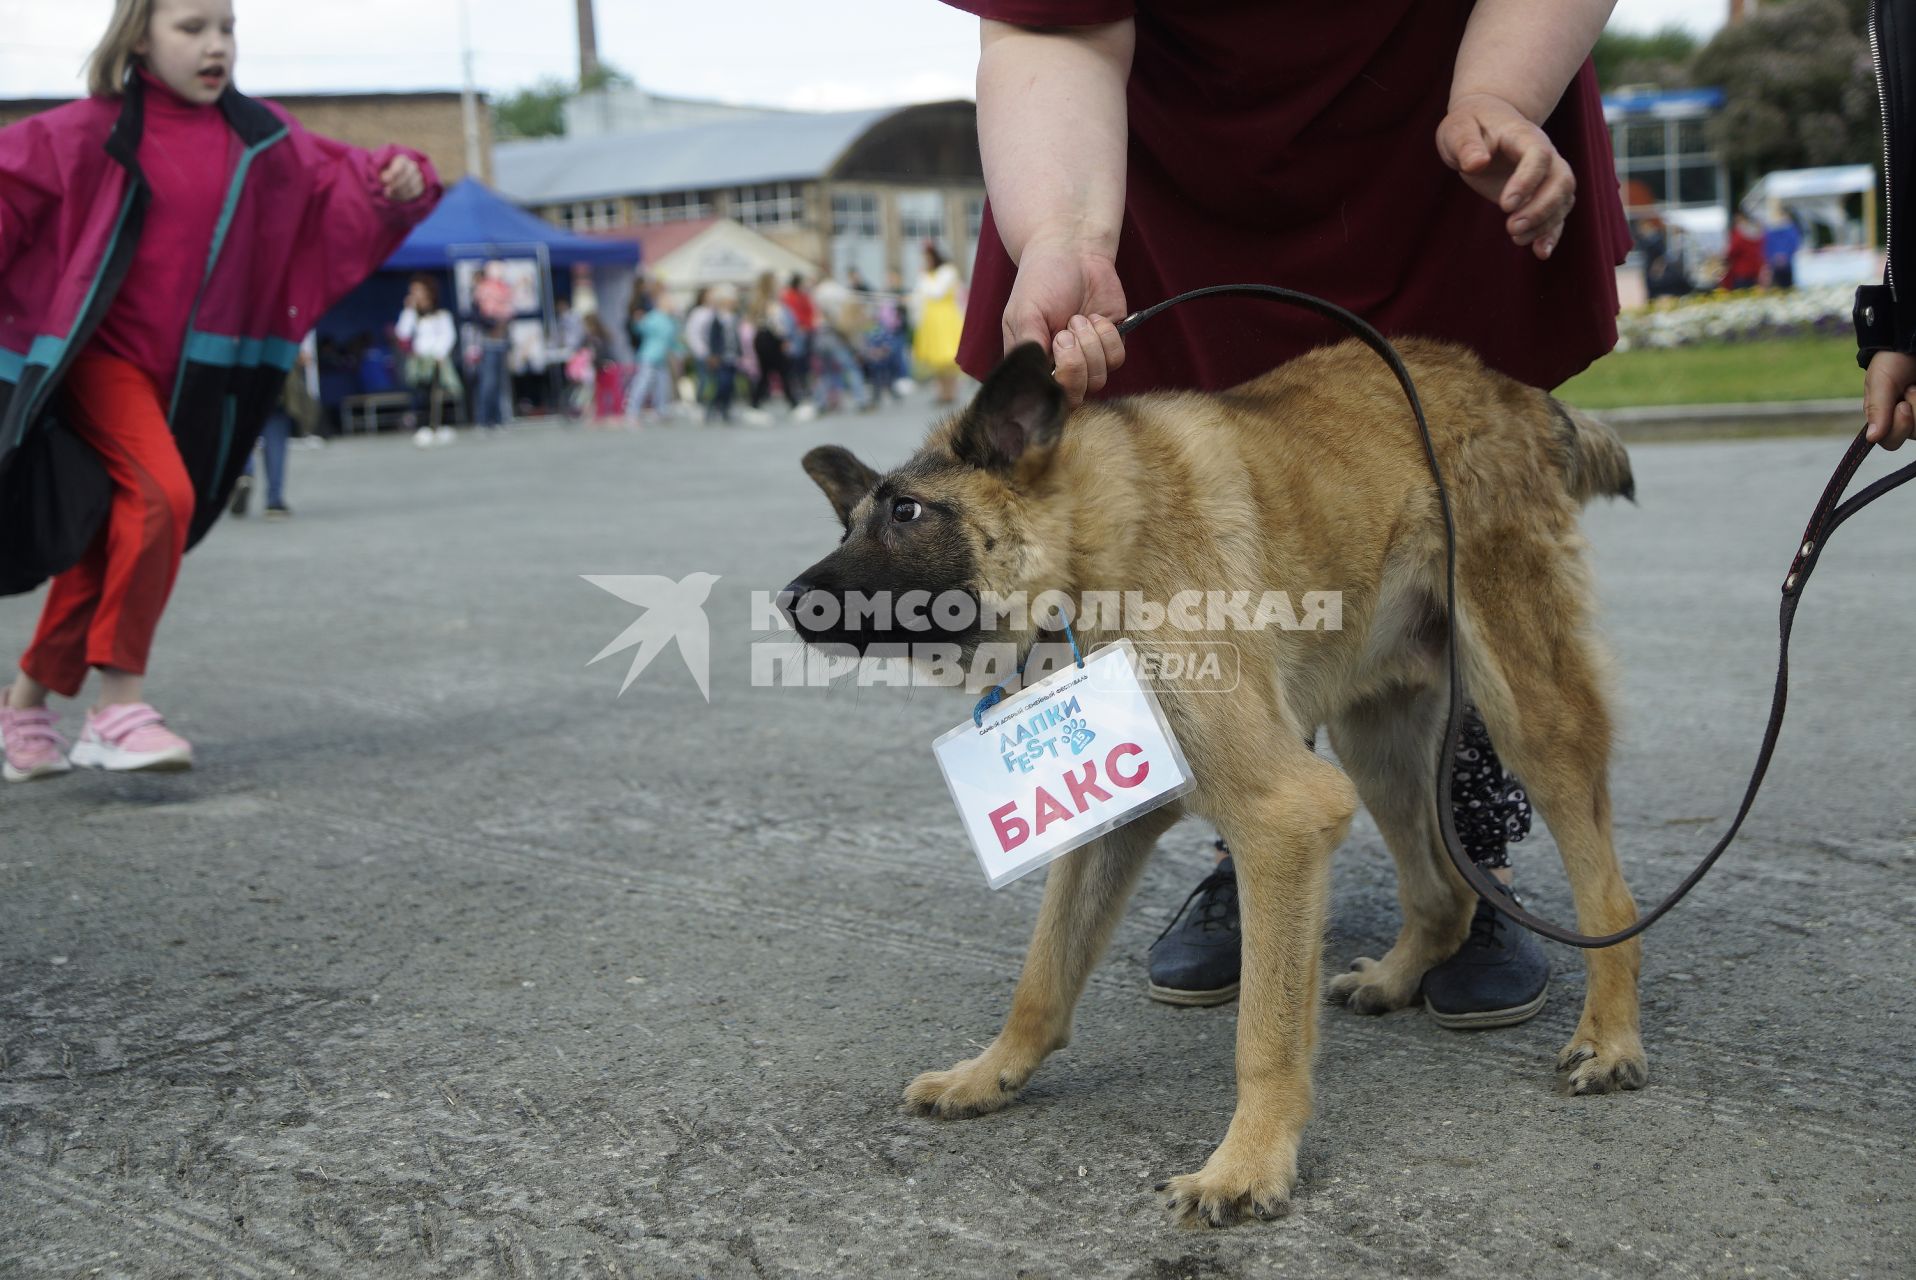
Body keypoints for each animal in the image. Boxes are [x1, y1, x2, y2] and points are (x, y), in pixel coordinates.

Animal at [777, 339, 1647, 1226]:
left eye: (907, 513)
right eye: (849, 522)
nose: (787, 601)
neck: (1087, 556)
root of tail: (1511, 389)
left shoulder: (1285, 817)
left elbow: (1264, 1033)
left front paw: (1250, 1162)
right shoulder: (1111, 825)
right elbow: (1043, 972)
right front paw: (992, 1073)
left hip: (1527, 714)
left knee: (1608, 899)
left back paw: (1610, 1038)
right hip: (1378, 744)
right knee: (1443, 893)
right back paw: (1400, 977)